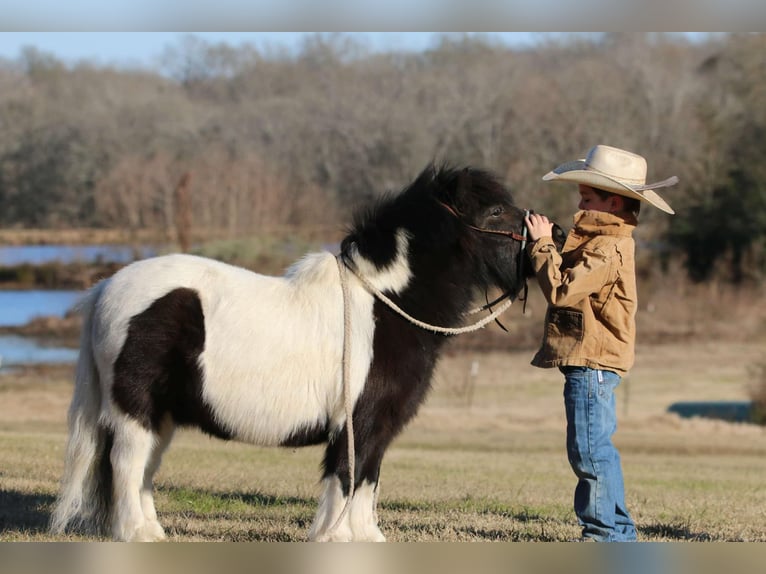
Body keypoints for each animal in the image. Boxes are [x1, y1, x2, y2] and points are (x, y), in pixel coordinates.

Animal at [49, 164, 564, 544]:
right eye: (494, 211)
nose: (556, 233)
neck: (383, 303)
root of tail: (107, 288)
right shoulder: (358, 421)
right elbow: (347, 476)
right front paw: (334, 537)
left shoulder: (378, 425)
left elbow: (369, 477)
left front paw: (366, 538)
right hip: (135, 413)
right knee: (126, 465)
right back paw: (135, 534)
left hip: (163, 417)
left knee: (144, 471)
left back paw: (154, 533)